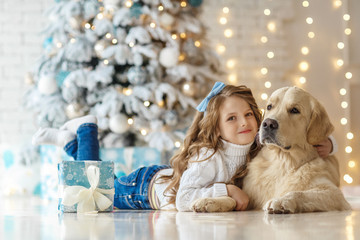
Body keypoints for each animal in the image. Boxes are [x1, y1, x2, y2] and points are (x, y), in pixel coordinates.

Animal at [191, 86, 352, 214]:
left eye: (295, 110)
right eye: (269, 106)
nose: (268, 124)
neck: (282, 161)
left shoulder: (335, 194)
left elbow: (299, 193)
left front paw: (281, 201)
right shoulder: (251, 195)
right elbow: (234, 197)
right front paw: (210, 201)